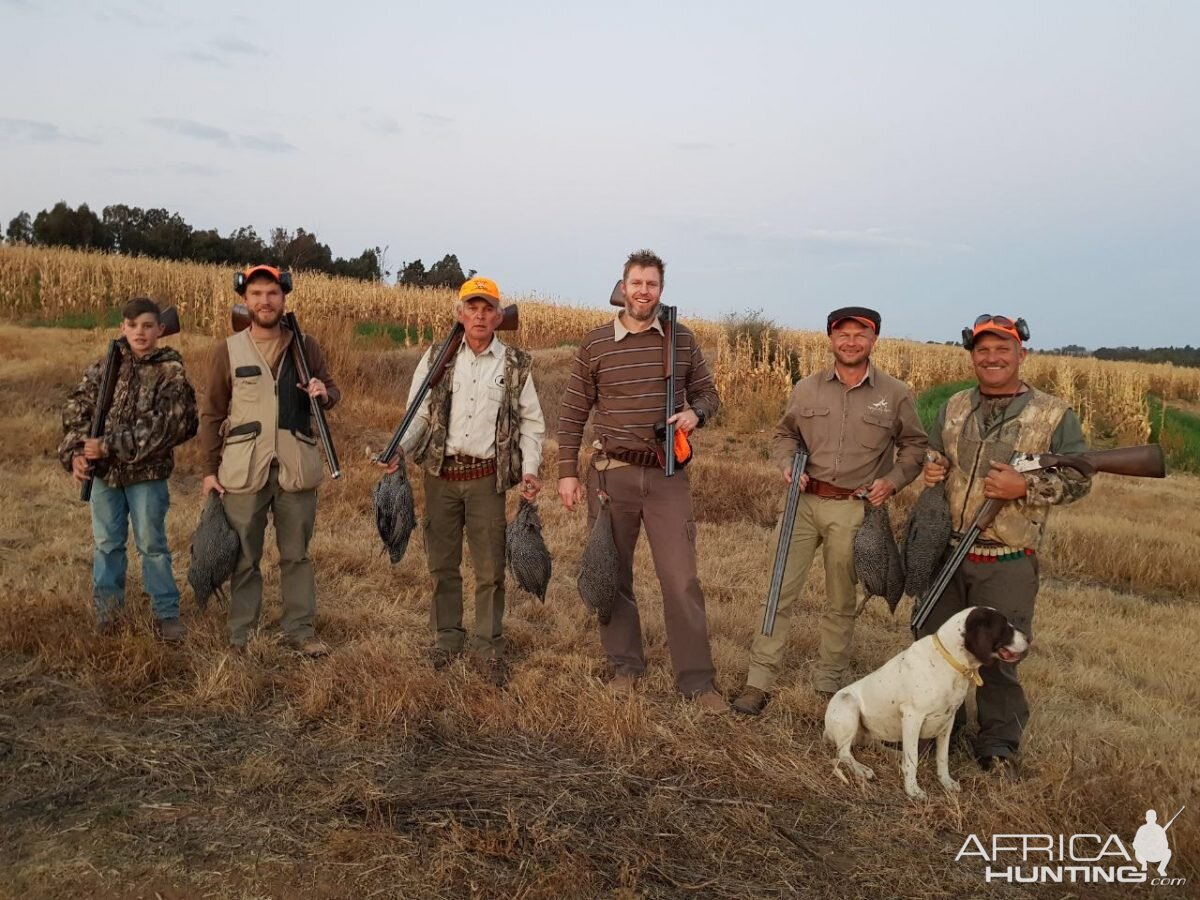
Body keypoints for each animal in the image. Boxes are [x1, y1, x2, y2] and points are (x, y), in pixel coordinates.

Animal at [825, 609, 1032, 801]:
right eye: (1003, 626)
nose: (1029, 638)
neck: (948, 661)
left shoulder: (948, 719)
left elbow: (942, 757)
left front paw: (946, 782)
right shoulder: (912, 717)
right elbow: (912, 760)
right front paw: (913, 790)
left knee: (874, 744)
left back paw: (894, 754)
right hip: (848, 704)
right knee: (844, 753)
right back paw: (861, 769)